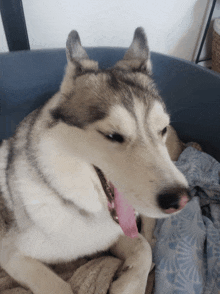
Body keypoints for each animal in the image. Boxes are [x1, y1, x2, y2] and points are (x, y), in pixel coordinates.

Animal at [0, 28, 189, 294]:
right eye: (112, 135)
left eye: (161, 129)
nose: (179, 199)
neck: (78, 206)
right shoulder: (12, 253)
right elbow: (58, 286)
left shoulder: (114, 234)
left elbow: (143, 249)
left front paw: (127, 285)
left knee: (149, 234)